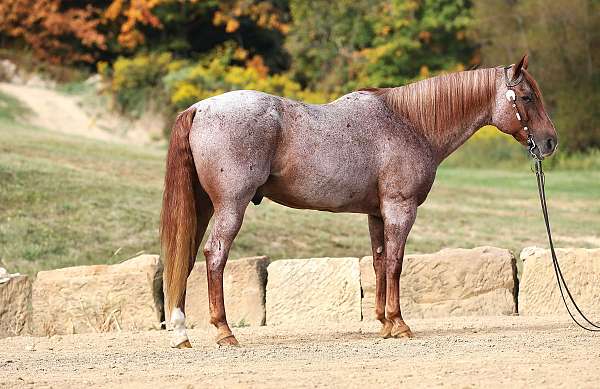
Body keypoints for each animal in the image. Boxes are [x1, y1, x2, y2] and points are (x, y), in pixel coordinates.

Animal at [159, 53, 556, 346]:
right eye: (527, 97)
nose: (550, 142)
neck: (410, 123)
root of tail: (199, 108)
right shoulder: (400, 210)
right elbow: (395, 263)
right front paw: (400, 324)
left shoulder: (377, 214)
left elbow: (379, 262)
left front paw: (384, 323)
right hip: (231, 206)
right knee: (215, 255)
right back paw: (224, 332)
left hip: (204, 207)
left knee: (189, 255)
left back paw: (181, 332)